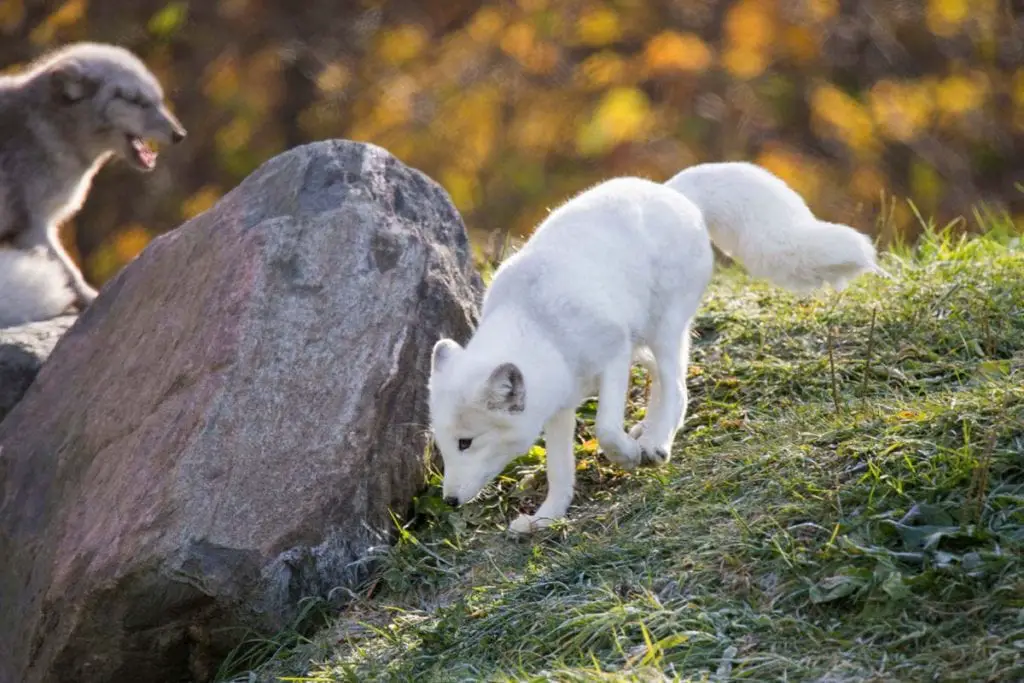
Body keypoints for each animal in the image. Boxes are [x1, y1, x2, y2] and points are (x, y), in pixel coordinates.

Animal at [428, 161, 884, 532]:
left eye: (466, 442)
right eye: (444, 445)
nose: (448, 500)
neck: (539, 325)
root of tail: (674, 191)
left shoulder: (612, 355)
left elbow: (606, 429)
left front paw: (629, 456)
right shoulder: (558, 404)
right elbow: (559, 471)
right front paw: (547, 518)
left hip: (665, 331)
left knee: (678, 390)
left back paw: (656, 443)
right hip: (646, 339)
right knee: (659, 381)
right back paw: (647, 432)